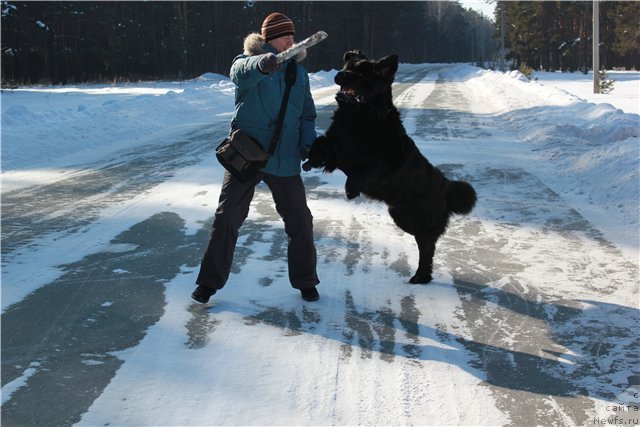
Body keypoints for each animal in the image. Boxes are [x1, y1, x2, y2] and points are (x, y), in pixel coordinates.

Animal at [304, 51, 476, 284]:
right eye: (346, 66)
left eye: (361, 73)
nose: (339, 75)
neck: (360, 117)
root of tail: (447, 186)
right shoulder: (337, 148)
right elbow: (322, 144)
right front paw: (311, 158)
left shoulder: (390, 163)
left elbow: (367, 172)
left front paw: (351, 189)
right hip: (400, 215)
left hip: (419, 220)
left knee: (427, 247)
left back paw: (421, 276)